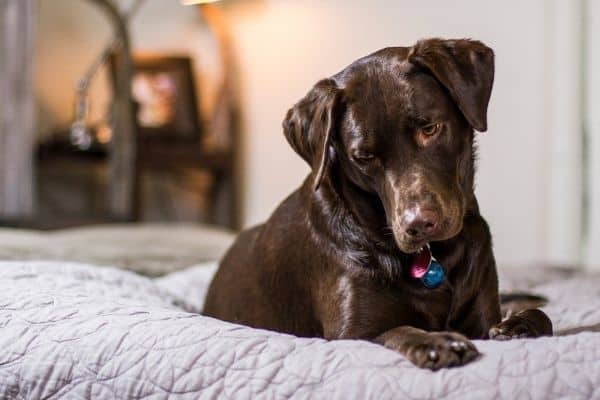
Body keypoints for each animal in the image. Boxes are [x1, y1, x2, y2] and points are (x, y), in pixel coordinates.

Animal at [203, 39, 552, 370]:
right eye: (364, 156)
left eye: (429, 129)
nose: (418, 223)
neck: (434, 257)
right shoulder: (351, 334)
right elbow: (397, 330)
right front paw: (436, 342)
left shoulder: (482, 318)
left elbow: (540, 317)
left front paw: (516, 326)